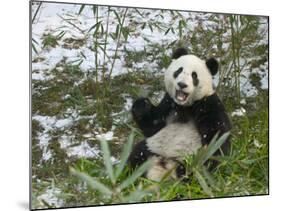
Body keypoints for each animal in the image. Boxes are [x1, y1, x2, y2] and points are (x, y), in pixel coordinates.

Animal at [128, 47, 231, 181]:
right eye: (178, 71)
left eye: (194, 76)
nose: (182, 84)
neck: (185, 106)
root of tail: (165, 165)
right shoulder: (169, 103)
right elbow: (153, 126)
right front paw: (142, 105)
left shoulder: (208, 104)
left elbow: (217, 137)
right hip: (152, 147)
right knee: (136, 155)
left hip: (188, 158)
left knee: (196, 169)